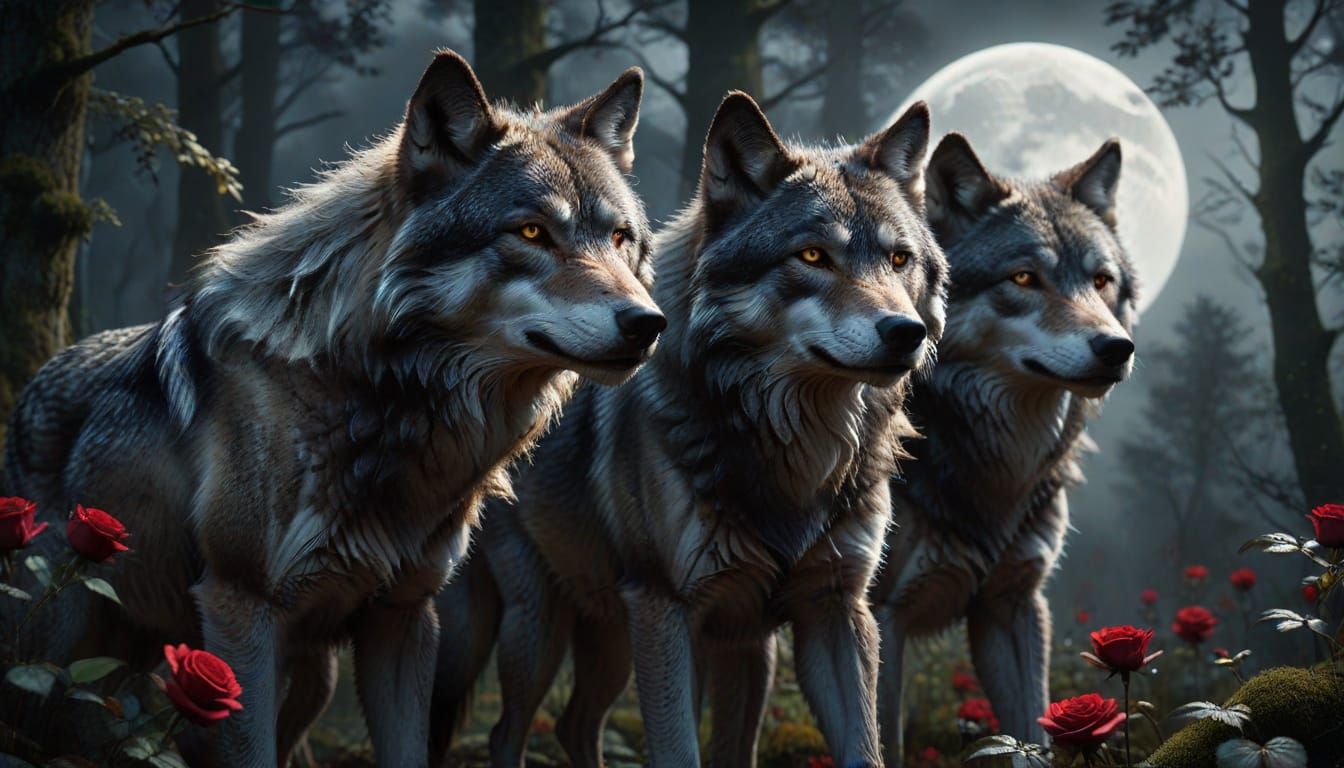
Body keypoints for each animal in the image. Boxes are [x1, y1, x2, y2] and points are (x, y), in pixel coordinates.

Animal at [2, 50, 664, 768]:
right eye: (533, 232)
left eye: (620, 238)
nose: (647, 323)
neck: (375, 403)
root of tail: (38, 378)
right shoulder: (240, 613)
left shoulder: (405, 616)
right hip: (63, 643)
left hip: (256, 670)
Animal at [429, 92, 947, 768]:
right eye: (812, 255)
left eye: (899, 259)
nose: (906, 331)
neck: (796, 454)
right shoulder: (668, 611)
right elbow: (678, 748)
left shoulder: (822, 615)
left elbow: (858, 748)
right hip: (532, 626)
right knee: (502, 730)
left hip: (616, 636)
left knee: (574, 724)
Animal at [867, 133, 1138, 761]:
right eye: (1023, 279)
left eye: (1102, 281)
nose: (1116, 347)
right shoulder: (880, 616)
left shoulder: (1012, 606)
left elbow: (1036, 735)